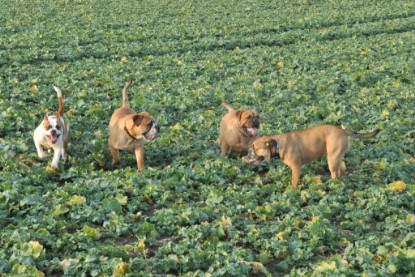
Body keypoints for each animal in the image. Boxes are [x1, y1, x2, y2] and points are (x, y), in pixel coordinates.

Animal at [249, 124, 382, 188]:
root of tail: (342, 130)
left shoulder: (296, 167)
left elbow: (294, 182)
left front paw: (292, 191)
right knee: (340, 170)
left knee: (335, 173)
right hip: (336, 157)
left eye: (256, 148)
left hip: (332, 158)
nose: (249, 151)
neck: (278, 145)